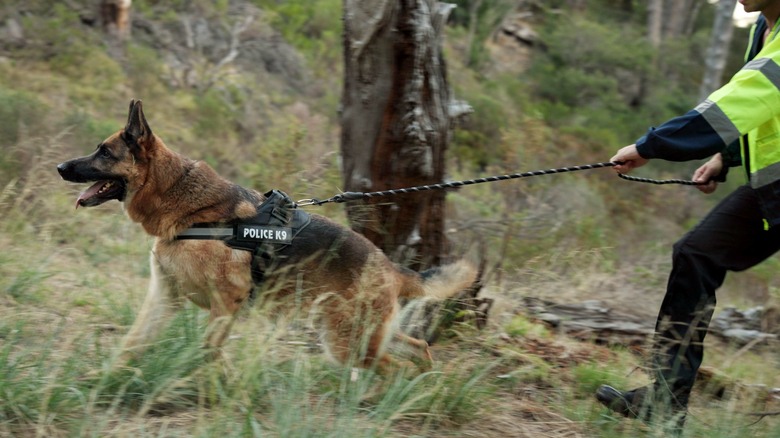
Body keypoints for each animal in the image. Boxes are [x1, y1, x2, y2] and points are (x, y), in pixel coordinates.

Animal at [56, 101, 476, 374]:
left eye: (104, 152)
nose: (60, 167)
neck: (183, 201)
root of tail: (388, 264)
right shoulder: (164, 299)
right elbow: (131, 344)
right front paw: (103, 381)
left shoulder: (226, 304)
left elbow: (208, 352)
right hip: (359, 335)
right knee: (419, 349)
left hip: (348, 343)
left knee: (393, 368)